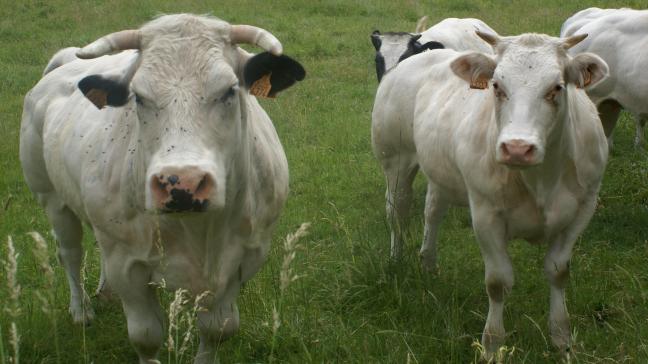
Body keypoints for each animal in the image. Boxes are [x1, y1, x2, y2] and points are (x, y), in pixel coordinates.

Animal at [19, 12, 304, 362]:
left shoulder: (246, 257)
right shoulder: (126, 266)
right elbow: (146, 336)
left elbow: (218, 329)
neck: (198, 234)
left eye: (229, 90)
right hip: (50, 197)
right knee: (70, 253)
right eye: (139, 97)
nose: (182, 183)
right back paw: (81, 311)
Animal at [372, 32, 612, 356]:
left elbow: (558, 272)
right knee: (397, 214)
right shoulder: (486, 215)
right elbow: (498, 283)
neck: (541, 180)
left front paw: (562, 340)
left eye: (557, 87)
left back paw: (429, 264)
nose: (517, 148)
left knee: (432, 212)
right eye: (497, 86)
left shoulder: (582, 209)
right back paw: (397, 261)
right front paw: (492, 346)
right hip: (395, 162)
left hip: (440, 172)